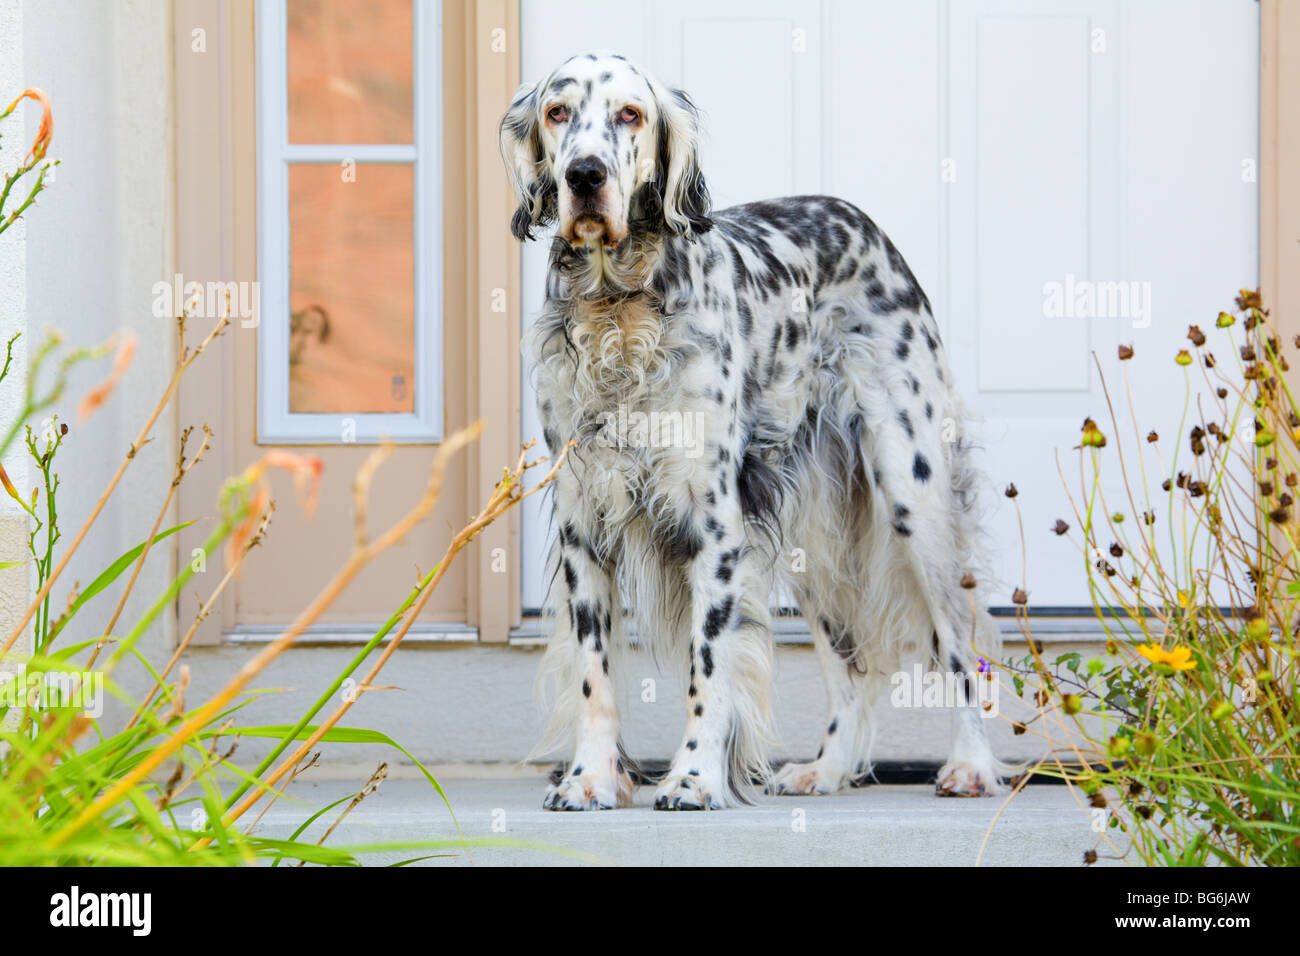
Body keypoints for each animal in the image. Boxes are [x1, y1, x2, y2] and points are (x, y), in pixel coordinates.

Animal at [501, 52, 1008, 811]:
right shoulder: (582, 525)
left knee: (958, 640)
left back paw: (971, 764)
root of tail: (860, 219)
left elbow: (709, 670)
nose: (584, 176)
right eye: (558, 112)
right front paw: (590, 777)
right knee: (850, 665)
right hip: (812, 534)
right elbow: (594, 675)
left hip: (913, 499)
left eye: (631, 114)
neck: (621, 310)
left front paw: (693, 779)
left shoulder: (714, 524)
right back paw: (826, 768)